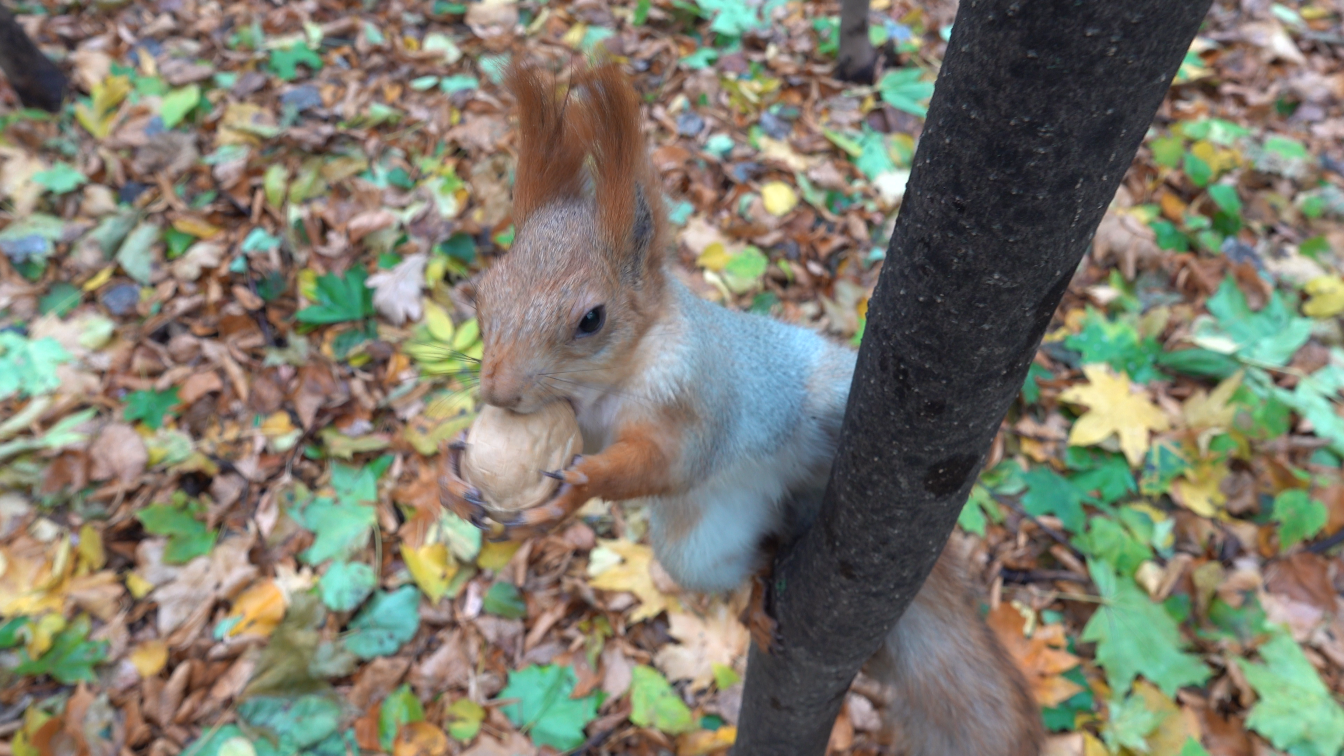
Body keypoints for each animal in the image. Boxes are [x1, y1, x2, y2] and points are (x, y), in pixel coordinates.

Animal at [439, 60, 1045, 756]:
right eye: (482, 295)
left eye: (591, 319)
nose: (498, 391)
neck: (607, 389)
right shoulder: (582, 424)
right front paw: (452, 479)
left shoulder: (702, 395)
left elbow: (666, 463)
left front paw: (578, 490)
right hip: (700, 547)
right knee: (757, 550)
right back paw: (759, 583)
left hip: (827, 396)